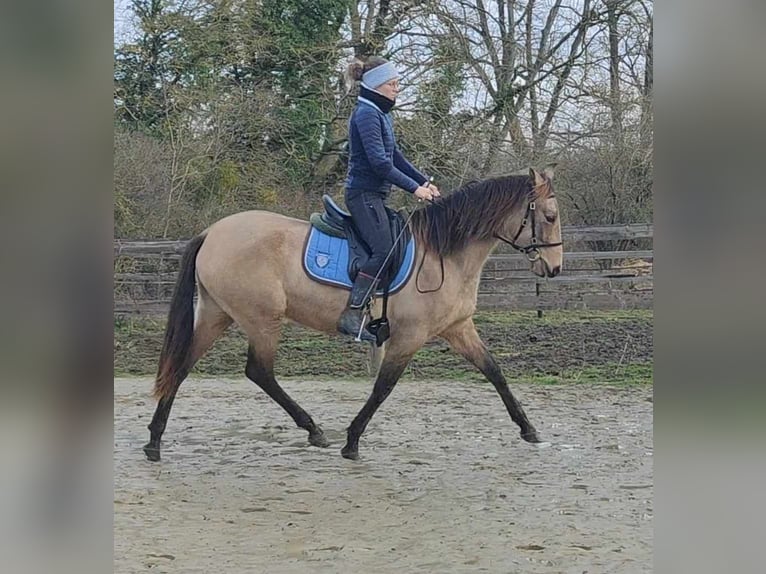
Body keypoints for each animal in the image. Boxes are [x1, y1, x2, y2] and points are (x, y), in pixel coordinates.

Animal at [144, 166, 564, 464]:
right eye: (549, 216)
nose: (555, 268)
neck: (443, 253)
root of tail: (212, 232)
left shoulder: (458, 328)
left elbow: (494, 371)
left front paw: (529, 429)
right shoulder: (408, 337)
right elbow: (383, 388)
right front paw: (352, 441)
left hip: (217, 314)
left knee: (182, 366)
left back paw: (154, 441)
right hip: (262, 319)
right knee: (259, 371)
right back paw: (313, 429)